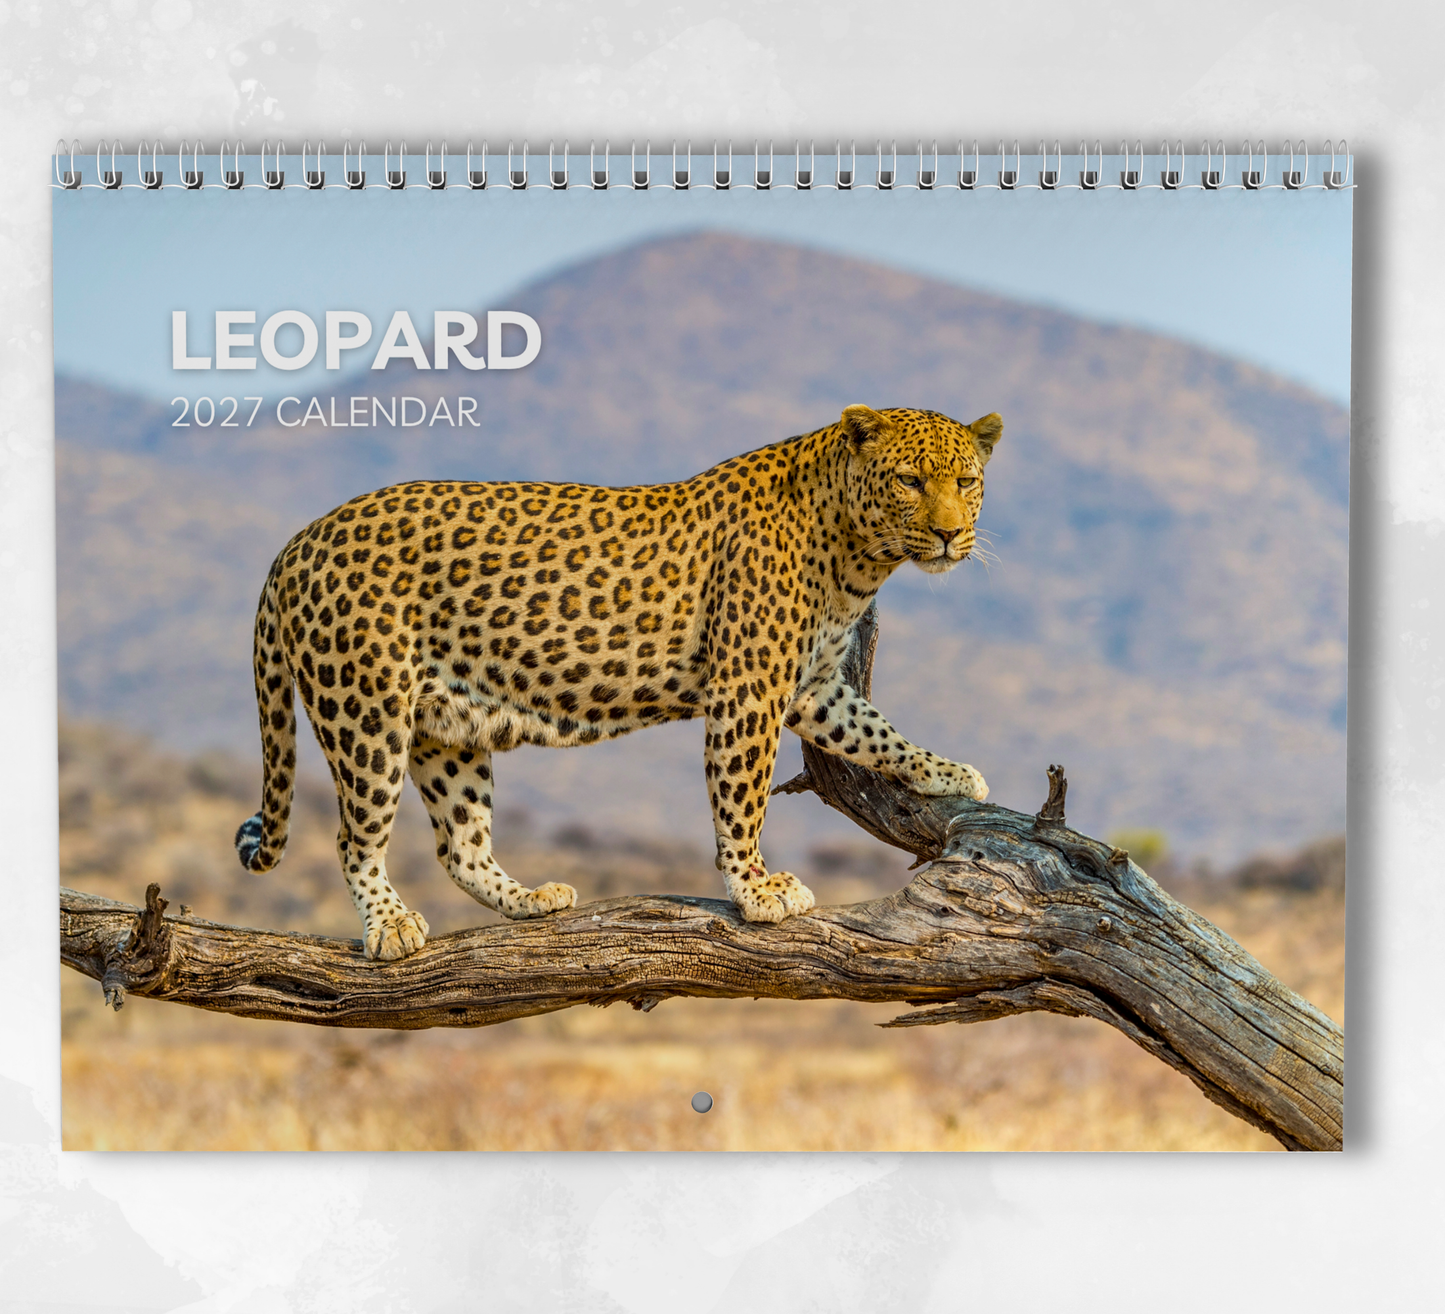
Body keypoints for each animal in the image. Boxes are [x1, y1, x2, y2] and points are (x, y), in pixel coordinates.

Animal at [234, 404, 1003, 960]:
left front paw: (947, 772)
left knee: (461, 844)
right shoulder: (748, 688)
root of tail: (295, 542)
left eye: (965, 482)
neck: (857, 556)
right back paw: (390, 928)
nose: (948, 534)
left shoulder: (812, 685)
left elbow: (876, 732)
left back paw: (528, 900)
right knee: (355, 838)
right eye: (909, 480)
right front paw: (754, 889)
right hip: (365, 713)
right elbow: (742, 797)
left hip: (445, 729)